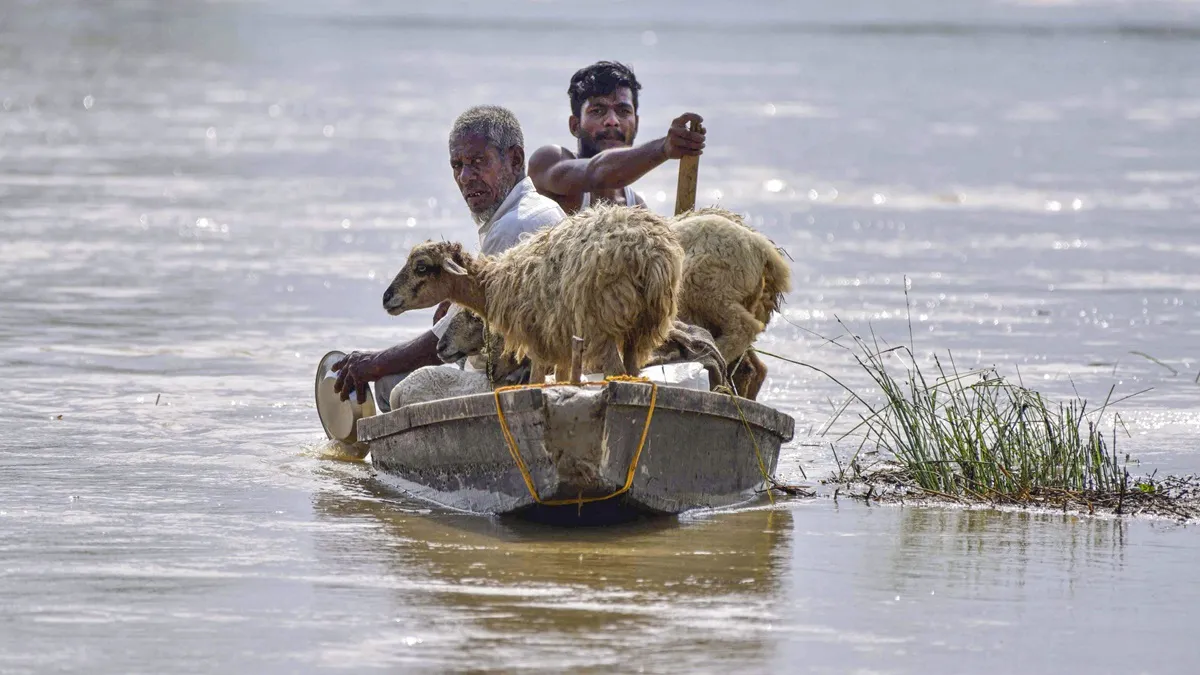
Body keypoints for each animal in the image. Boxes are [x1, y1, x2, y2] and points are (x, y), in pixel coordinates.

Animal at [384, 201, 686, 381]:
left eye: (421, 267)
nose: (386, 298)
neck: (494, 284)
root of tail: (648, 253)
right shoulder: (562, 345)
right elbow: (562, 381)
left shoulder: (538, 341)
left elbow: (537, 383)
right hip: (645, 324)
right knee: (633, 372)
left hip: (603, 321)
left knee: (617, 371)